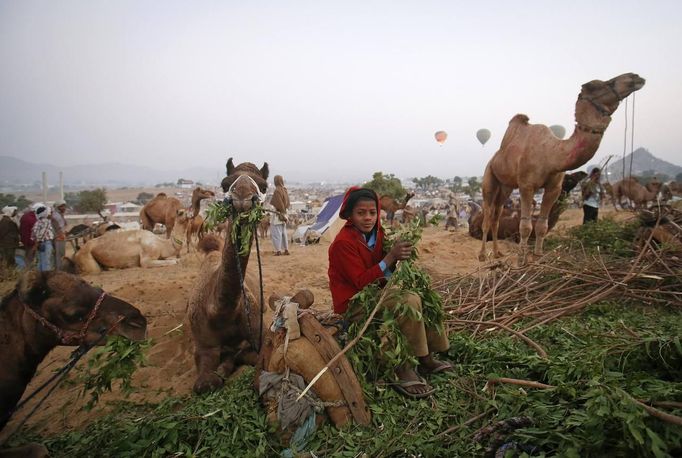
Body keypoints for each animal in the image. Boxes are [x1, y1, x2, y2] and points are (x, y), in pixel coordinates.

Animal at [189, 157, 270, 394]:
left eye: (264, 186)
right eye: (225, 184)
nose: (242, 195)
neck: (219, 312)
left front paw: (227, 363)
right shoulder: (203, 346)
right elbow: (204, 384)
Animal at [478, 72, 644, 262]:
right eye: (596, 85)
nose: (635, 77)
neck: (551, 154)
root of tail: (493, 159)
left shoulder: (554, 188)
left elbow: (542, 225)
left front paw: (537, 258)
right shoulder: (526, 186)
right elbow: (526, 226)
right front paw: (521, 261)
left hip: (506, 187)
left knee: (496, 216)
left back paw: (497, 252)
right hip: (489, 178)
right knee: (488, 216)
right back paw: (482, 255)